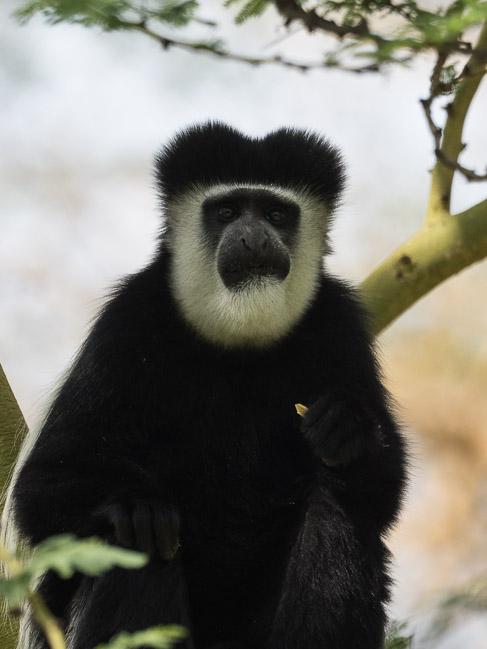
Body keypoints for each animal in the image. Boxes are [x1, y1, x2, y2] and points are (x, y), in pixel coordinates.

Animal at [10, 122, 406, 649]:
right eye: (226, 212)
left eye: (276, 214)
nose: (253, 237)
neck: (236, 341)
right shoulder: (126, 325)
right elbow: (44, 484)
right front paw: (135, 502)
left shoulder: (340, 327)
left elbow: (384, 491)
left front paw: (346, 428)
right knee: (135, 543)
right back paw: (142, 520)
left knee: (338, 513)